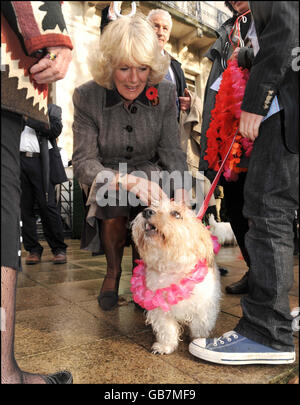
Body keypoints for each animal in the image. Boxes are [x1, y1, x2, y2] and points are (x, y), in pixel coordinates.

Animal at [131, 200, 220, 352]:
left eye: (176, 214)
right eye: (153, 206)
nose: (146, 212)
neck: (172, 269)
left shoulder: (203, 307)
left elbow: (199, 326)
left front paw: (198, 340)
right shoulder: (160, 308)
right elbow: (167, 329)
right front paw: (165, 346)